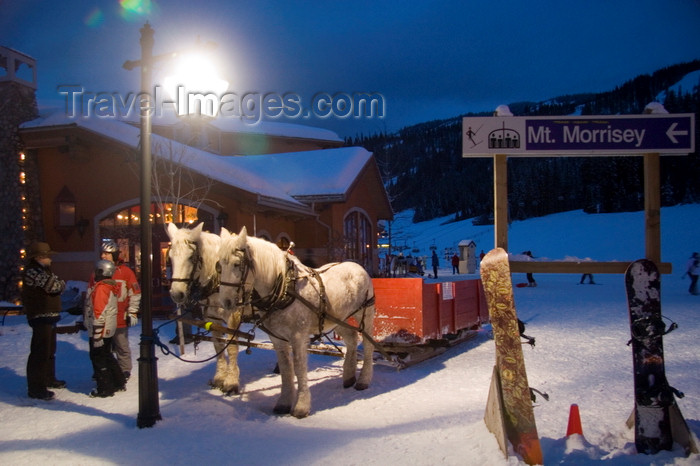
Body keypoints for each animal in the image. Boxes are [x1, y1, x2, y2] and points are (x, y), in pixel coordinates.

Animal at [165, 222, 242, 394]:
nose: (177, 293)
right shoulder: (213, 319)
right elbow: (218, 346)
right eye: (170, 257)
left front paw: (231, 382)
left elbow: (232, 347)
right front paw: (219, 378)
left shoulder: (233, 317)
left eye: (191, 257)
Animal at [219, 227, 374, 418]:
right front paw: (283, 403)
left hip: (365, 315)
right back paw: (349, 376)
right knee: (352, 339)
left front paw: (301, 406)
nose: (225, 302)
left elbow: (299, 368)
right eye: (220, 265)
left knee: (368, 344)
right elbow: (286, 369)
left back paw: (363, 380)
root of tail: (357, 266)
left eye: (236, 264)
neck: (284, 289)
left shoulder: (298, 337)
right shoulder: (277, 339)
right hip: (339, 319)